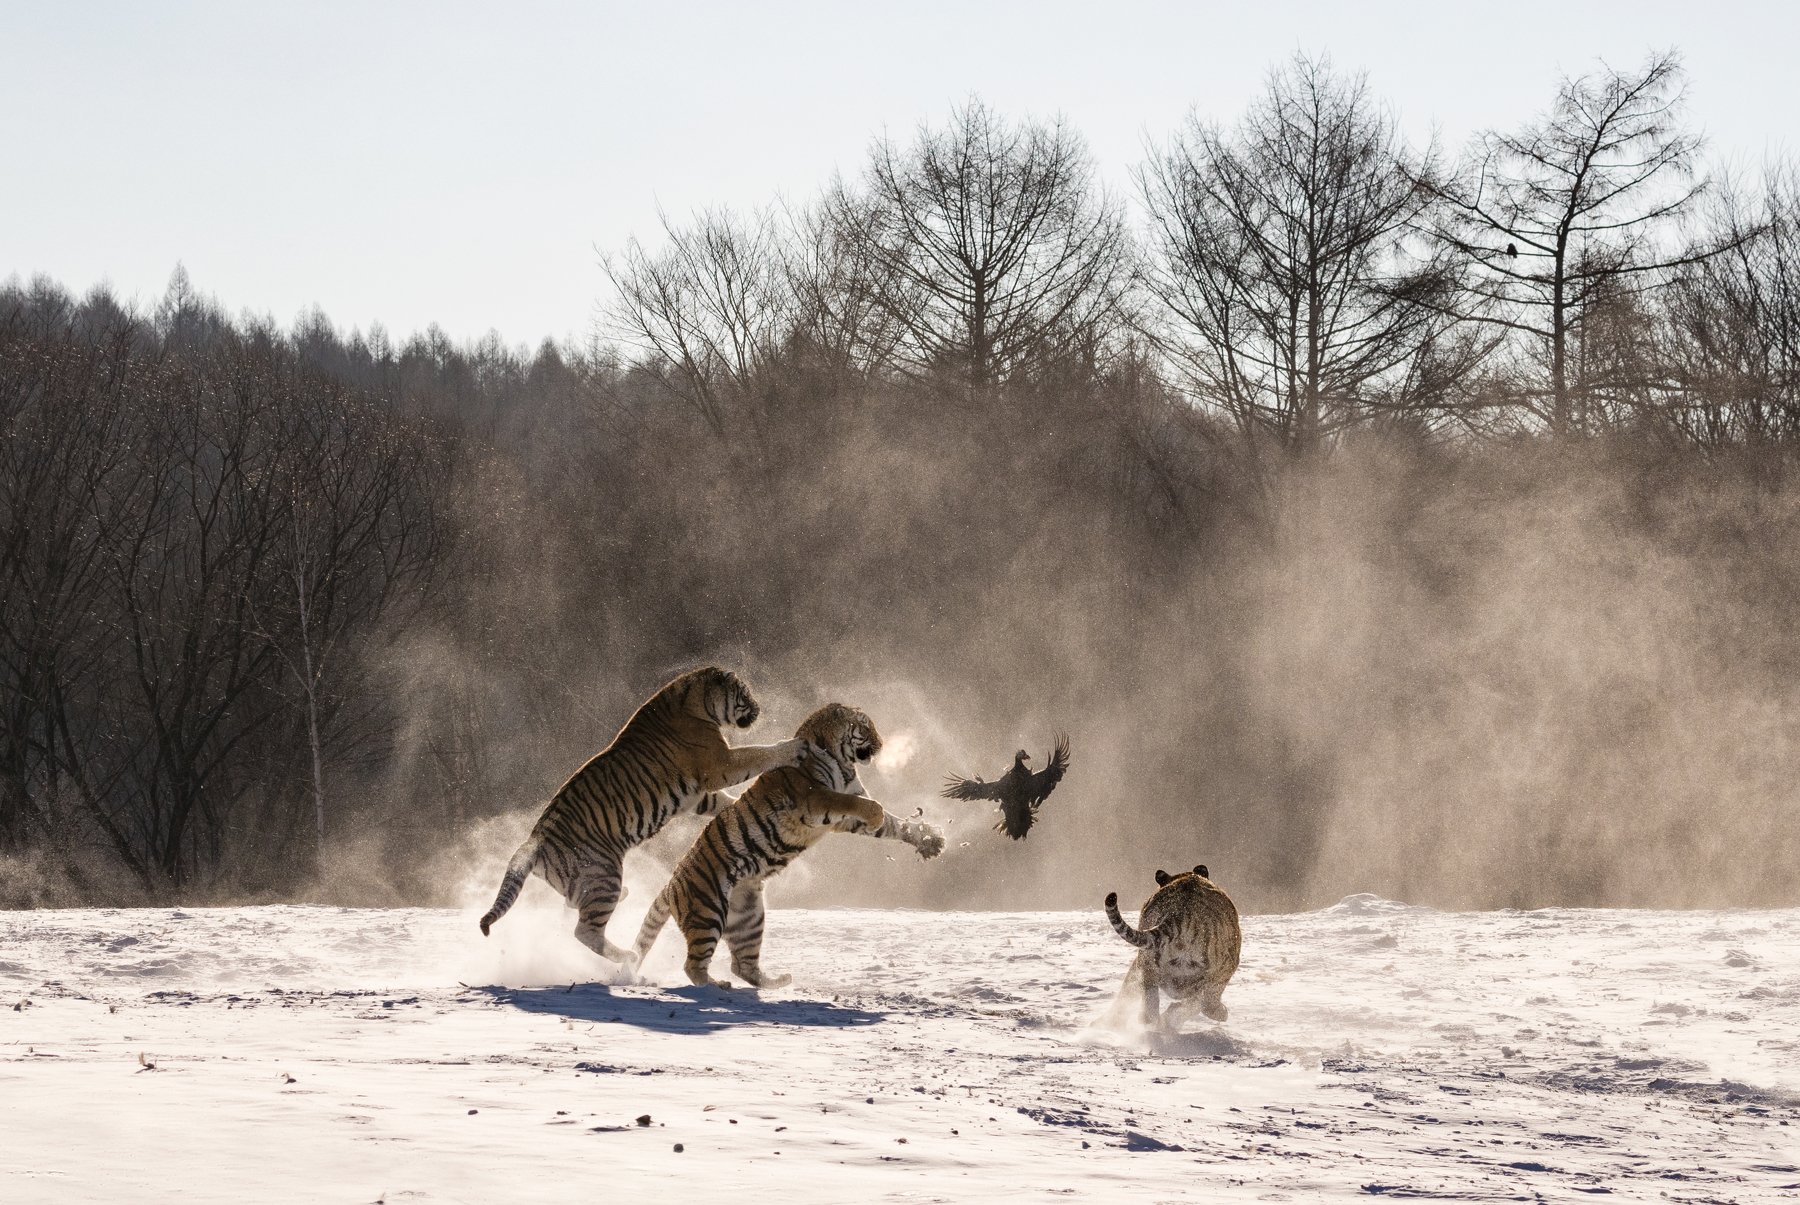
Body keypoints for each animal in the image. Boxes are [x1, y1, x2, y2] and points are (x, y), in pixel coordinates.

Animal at [475, 662, 799, 965]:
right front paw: (792, 747)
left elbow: (723, 801)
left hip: (587, 882)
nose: (759, 708)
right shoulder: (721, 764)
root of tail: (535, 841)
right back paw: (628, 956)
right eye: (745, 693)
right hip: (604, 872)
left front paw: (736, 808)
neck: (699, 703)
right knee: (585, 931)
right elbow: (758, 753)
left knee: (573, 909)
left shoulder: (696, 797)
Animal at [630, 698, 950, 994]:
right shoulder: (817, 798)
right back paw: (717, 986)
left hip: (748, 917)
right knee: (693, 965)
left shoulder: (842, 819)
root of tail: (671, 883)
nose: (882, 745)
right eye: (866, 726)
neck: (843, 762)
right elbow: (863, 804)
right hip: (708, 911)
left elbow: (897, 825)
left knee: (742, 964)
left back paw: (777, 982)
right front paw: (877, 815)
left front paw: (931, 842)